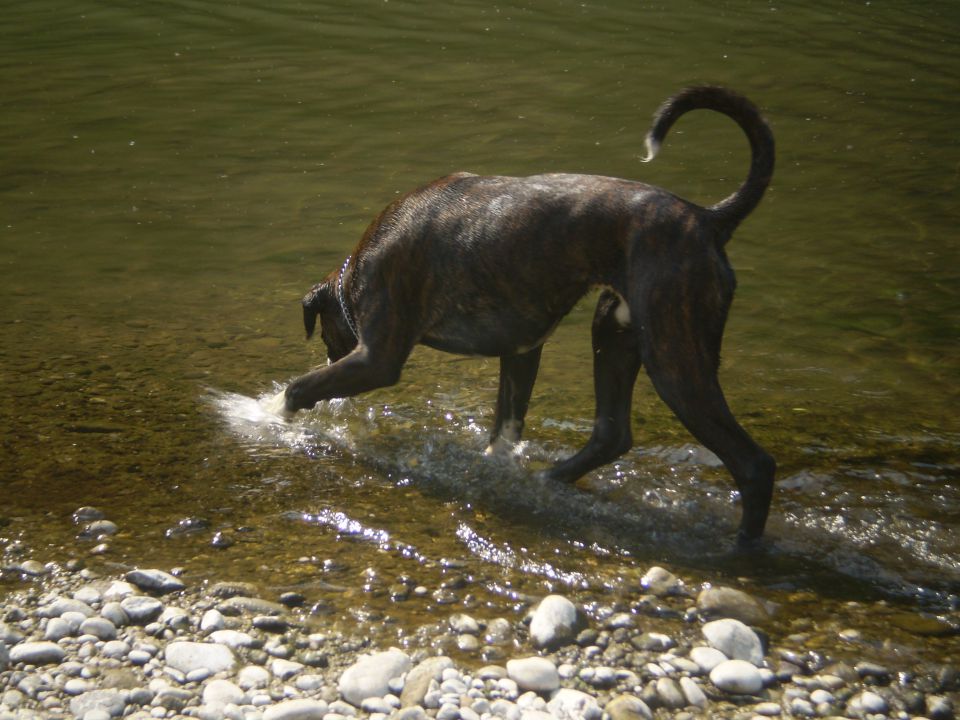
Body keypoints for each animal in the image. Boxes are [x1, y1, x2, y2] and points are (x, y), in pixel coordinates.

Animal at [282, 87, 776, 544]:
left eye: (326, 337)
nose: (331, 359)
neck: (352, 275)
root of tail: (708, 218)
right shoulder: (520, 353)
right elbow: (505, 428)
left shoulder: (377, 360)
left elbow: (298, 387)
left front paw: (274, 415)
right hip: (614, 333)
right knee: (611, 434)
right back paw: (549, 481)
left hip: (674, 361)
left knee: (754, 465)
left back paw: (741, 549)